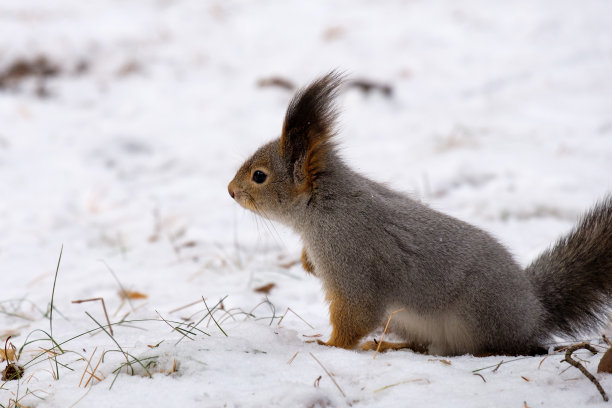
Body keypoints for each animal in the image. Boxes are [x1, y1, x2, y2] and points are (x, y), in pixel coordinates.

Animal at [230, 71, 612, 356]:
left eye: (259, 176)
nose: (231, 191)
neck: (324, 206)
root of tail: (535, 309)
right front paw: (306, 261)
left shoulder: (352, 262)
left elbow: (355, 314)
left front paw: (330, 346)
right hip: (404, 319)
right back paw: (389, 346)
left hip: (478, 313)